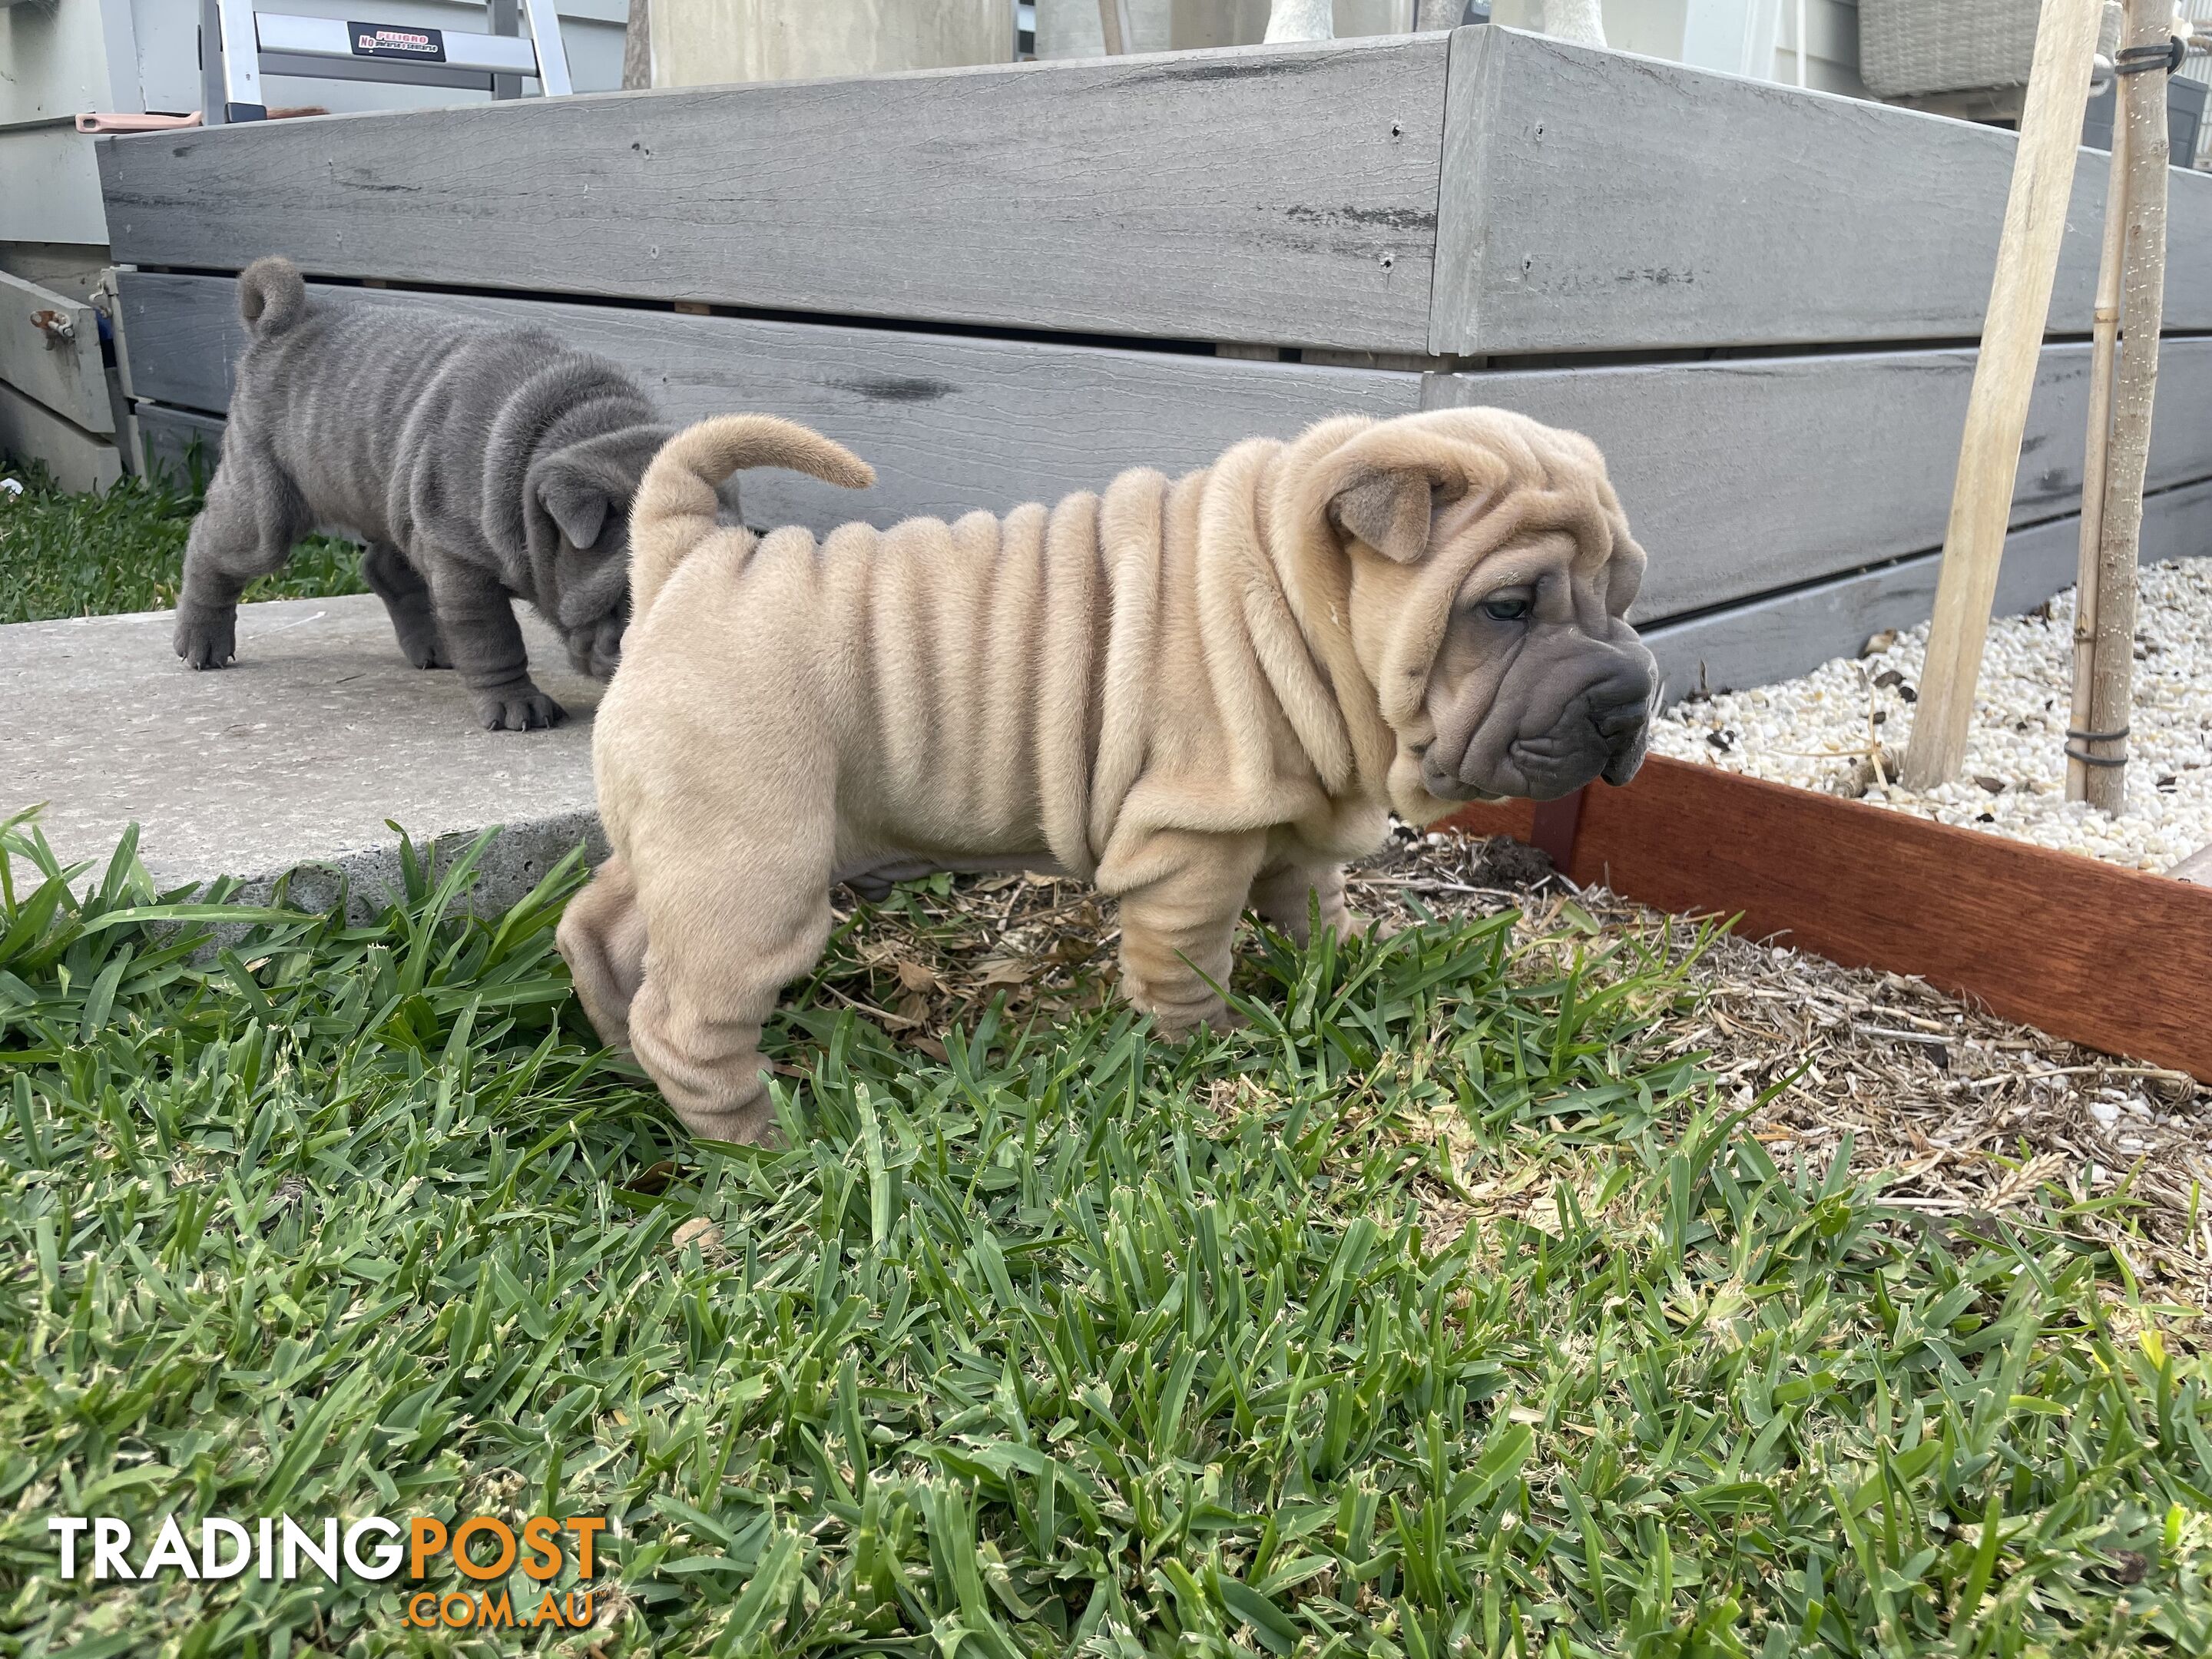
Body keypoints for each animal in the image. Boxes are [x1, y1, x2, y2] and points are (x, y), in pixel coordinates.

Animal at [171, 258, 667, 725]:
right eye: (629, 595)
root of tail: (282, 325)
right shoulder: (459, 557)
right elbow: (492, 638)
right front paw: (517, 706)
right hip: (264, 504)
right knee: (216, 546)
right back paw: (201, 644)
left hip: (389, 499)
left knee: (387, 568)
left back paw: (433, 648)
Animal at [561, 413, 1654, 1141]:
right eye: (1507, 608)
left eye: (1627, 593)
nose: (1630, 697)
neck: (1296, 596)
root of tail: (688, 559)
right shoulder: (1196, 837)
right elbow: (1190, 956)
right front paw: (1211, 1044)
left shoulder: (1292, 807)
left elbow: (1312, 898)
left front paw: (1350, 964)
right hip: (752, 864)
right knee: (691, 1015)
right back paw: (762, 1139)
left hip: (686, 839)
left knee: (605, 927)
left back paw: (615, 1046)